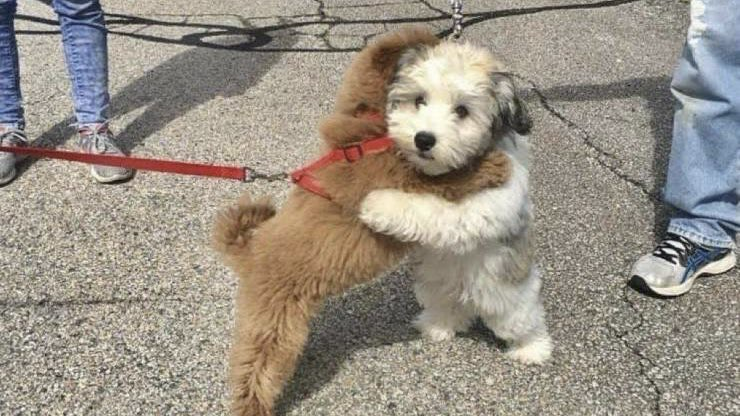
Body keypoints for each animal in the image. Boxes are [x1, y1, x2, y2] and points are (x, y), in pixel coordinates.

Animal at [211, 27, 512, 414]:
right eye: (420, 100)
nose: (423, 138)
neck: (367, 137)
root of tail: (249, 250)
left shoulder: (360, 102)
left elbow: (370, 61)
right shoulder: (403, 177)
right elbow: (449, 178)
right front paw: (492, 165)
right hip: (273, 323)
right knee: (255, 370)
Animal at [358, 39, 548, 364]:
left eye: (462, 110)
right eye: (419, 100)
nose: (423, 139)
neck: (458, 169)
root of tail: (467, 294)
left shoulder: (483, 206)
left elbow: (433, 210)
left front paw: (378, 204)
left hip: (508, 295)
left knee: (522, 320)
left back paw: (533, 348)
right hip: (436, 286)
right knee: (447, 308)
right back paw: (438, 326)